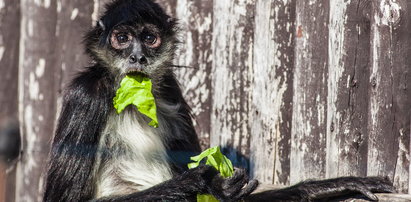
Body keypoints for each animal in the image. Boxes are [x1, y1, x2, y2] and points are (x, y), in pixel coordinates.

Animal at [43, 0, 394, 201]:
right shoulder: (86, 96)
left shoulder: (169, 89)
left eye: (149, 38)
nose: (138, 56)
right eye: (122, 38)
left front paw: (329, 186)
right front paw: (198, 180)